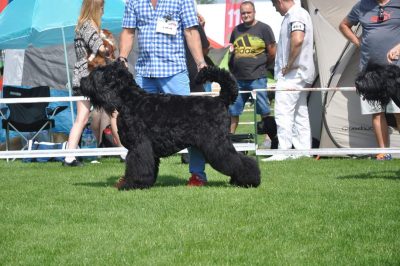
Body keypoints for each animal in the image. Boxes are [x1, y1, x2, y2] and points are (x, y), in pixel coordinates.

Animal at [78, 62, 260, 189]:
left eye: (97, 74)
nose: (81, 81)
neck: (130, 100)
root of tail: (221, 100)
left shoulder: (139, 146)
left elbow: (137, 166)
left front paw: (131, 184)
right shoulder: (147, 149)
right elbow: (149, 167)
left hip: (216, 143)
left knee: (240, 160)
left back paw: (250, 180)